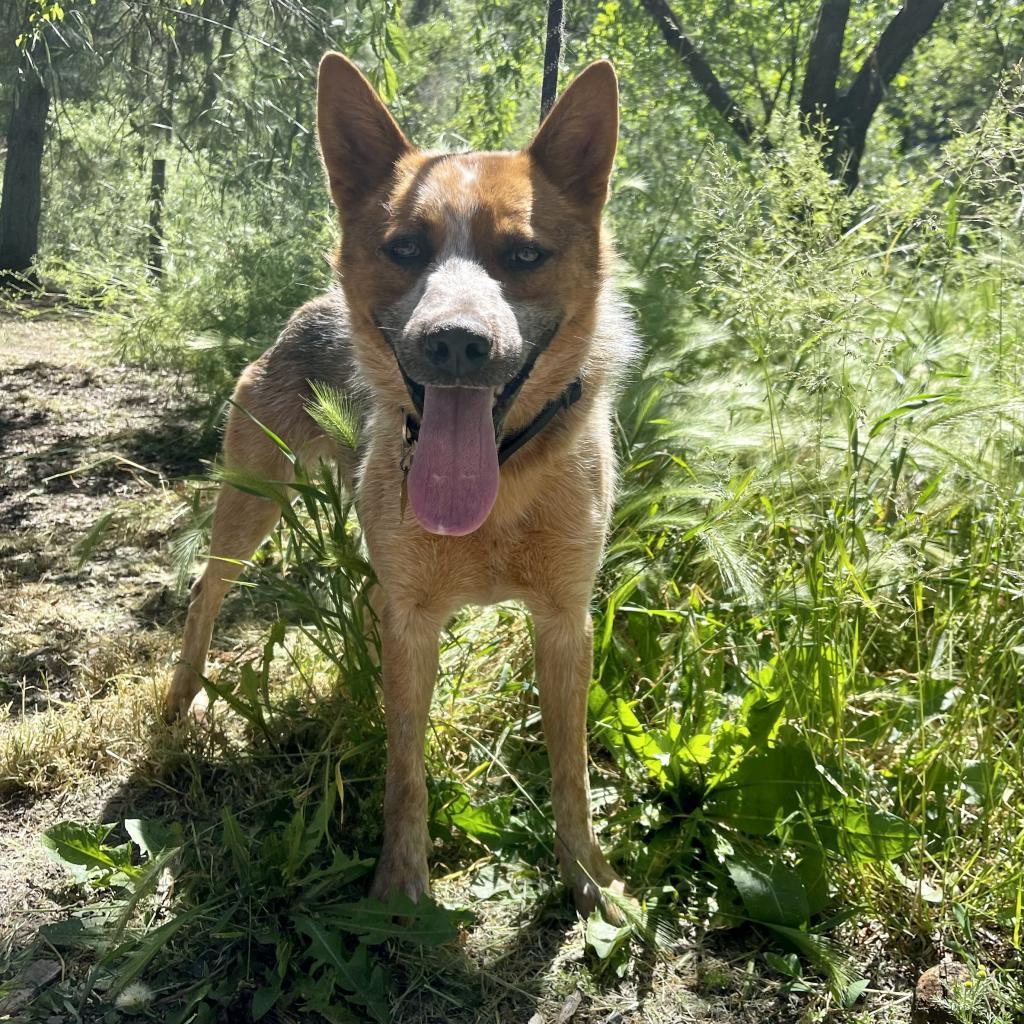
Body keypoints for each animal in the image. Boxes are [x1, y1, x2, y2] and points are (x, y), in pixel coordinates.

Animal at [163, 51, 634, 917]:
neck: (500, 485)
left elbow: (572, 773)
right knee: (206, 594)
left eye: (524, 255)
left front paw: (591, 879)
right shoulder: (412, 625)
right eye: (406, 248)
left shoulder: (565, 623)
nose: (454, 343)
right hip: (251, 505)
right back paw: (182, 699)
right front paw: (400, 889)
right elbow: (404, 769)